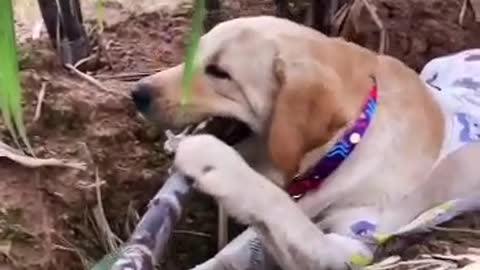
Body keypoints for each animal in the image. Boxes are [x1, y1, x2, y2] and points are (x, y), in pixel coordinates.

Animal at [129, 16, 480, 270]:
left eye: (219, 72)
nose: (137, 92)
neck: (347, 145)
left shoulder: (350, 247)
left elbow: (281, 209)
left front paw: (215, 161)